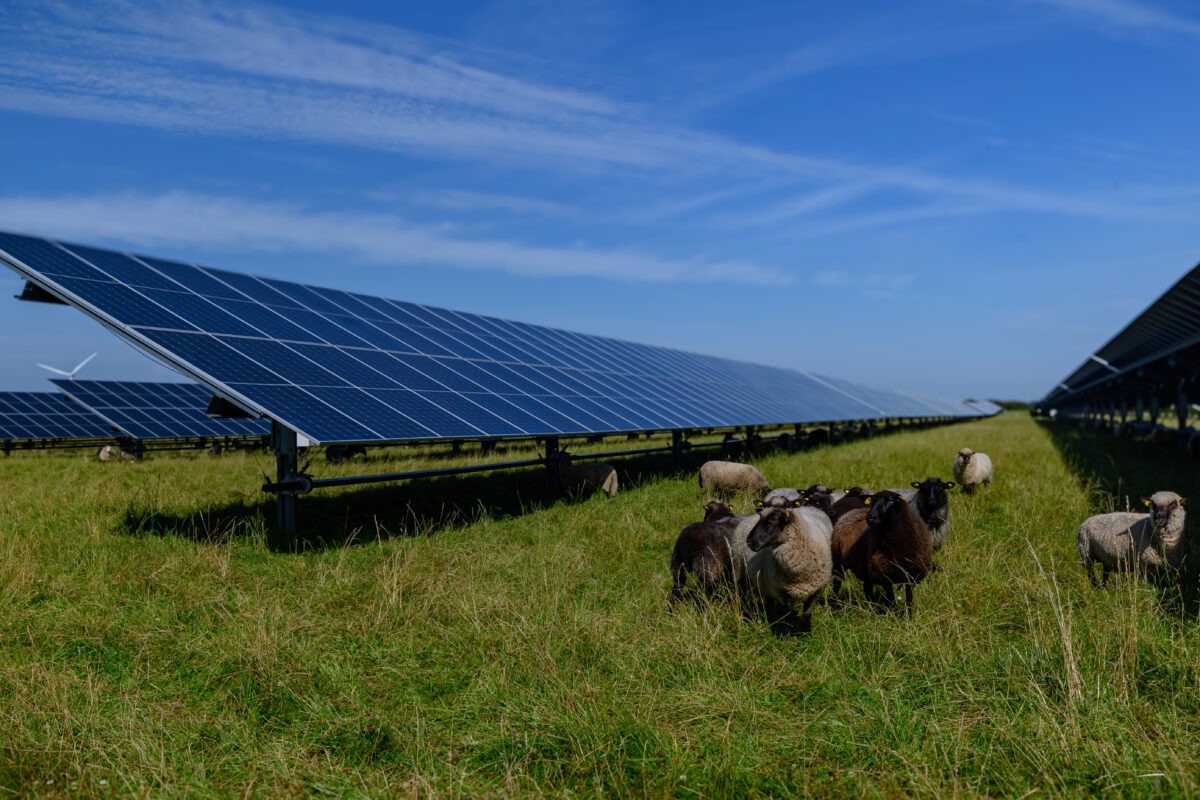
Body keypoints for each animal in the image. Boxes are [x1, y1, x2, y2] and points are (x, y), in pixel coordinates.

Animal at [739, 506, 835, 638]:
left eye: (771, 522)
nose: (749, 542)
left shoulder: (816, 590)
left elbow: (807, 614)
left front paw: (808, 636)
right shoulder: (781, 591)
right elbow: (786, 615)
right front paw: (784, 637)